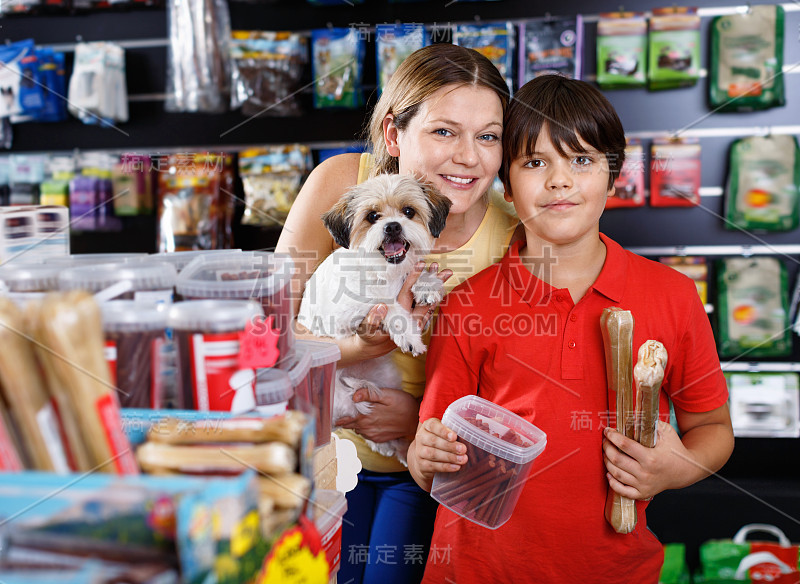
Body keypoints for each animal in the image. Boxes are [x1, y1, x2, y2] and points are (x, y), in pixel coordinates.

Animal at [298, 171, 450, 464]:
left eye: (408, 211)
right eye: (372, 216)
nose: (392, 226)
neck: (383, 272)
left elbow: (413, 275)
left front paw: (426, 284)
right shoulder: (344, 313)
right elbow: (386, 305)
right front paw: (408, 334)